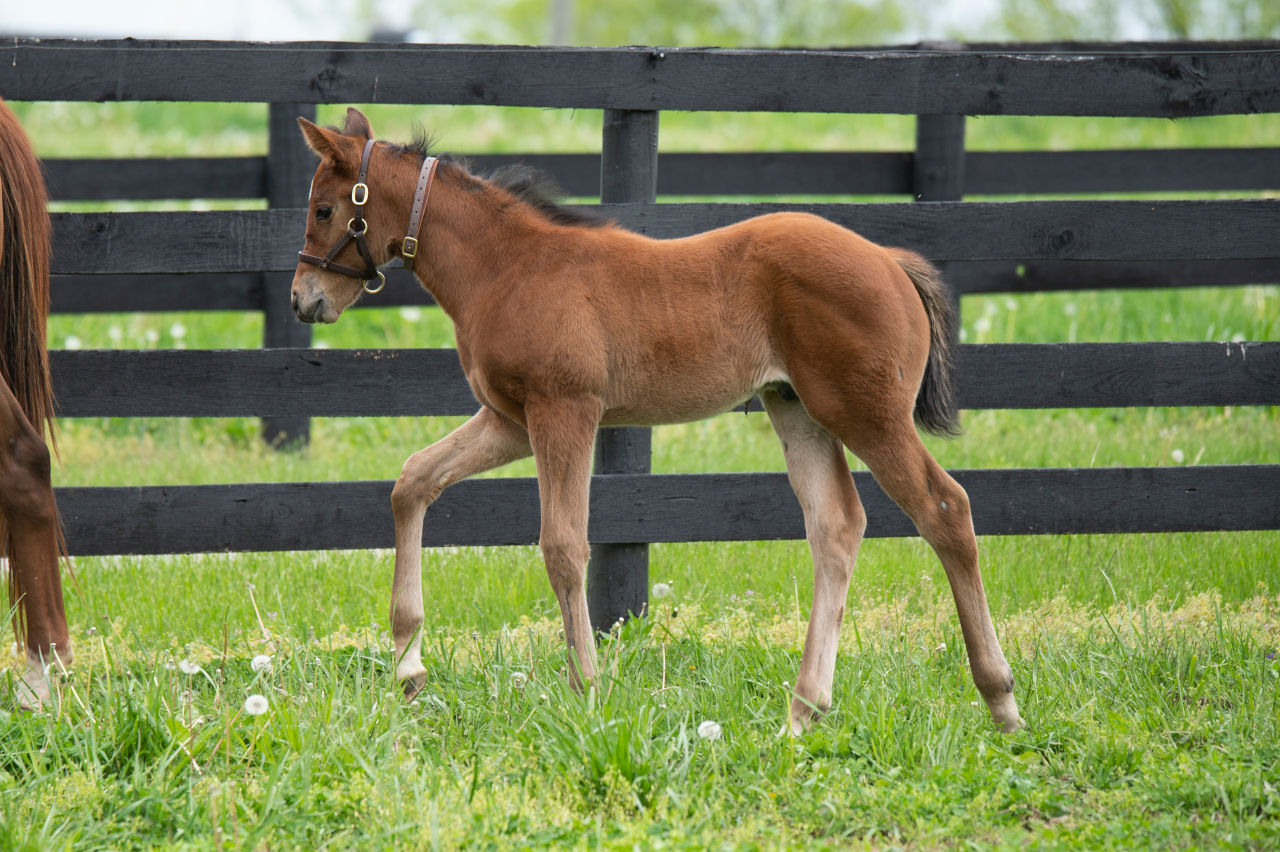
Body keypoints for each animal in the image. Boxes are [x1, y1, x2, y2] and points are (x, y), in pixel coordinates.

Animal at [290, 106, 1018, 731]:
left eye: (325, 208)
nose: (303, 300)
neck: (508, 267)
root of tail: (890, 262)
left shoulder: (566, 410)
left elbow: (563, 545)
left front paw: (587, 689)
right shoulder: (509, 420)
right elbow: (414, 480)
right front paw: (408, 667)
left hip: (867, 413)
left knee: (945, 508)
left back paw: (1000, 699)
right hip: (797, 409)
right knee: (836, 526)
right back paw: (802, 713)